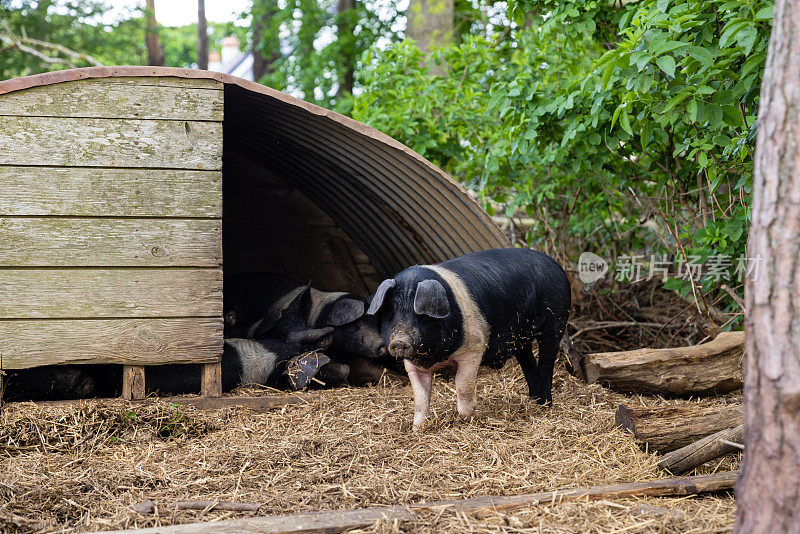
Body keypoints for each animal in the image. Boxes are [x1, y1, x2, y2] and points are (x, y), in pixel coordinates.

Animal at [366, 250, 572, 432]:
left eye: (421, 315)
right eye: (391, 311)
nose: (399, 341)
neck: (436, 356)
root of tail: (556, 265)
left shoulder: (474, 347)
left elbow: (463, 386)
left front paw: (471, 418)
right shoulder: (413, 365)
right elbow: (420, 397)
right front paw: (418, 428)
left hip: (556, 319)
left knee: (546, 363)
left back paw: (545, 405)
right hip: (521, 337)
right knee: (528, 363)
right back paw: (533, 401)